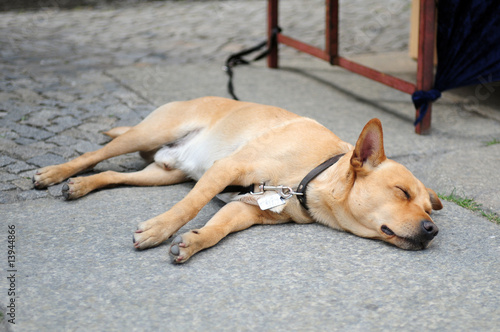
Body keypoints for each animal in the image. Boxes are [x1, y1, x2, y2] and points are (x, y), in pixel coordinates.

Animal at [34, 97, 442, 264]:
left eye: (428, 209)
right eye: (401, 191)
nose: (432, 230)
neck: (313, 176)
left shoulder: (247, 208)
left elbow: (217, 228)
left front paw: (194, 242)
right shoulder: (226, 170)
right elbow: (190, 206)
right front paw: (160, 229)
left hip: (162, 174)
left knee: (111, 173)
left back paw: (80, 185)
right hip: (148, 134)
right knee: (95, 156)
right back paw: (55, 173)